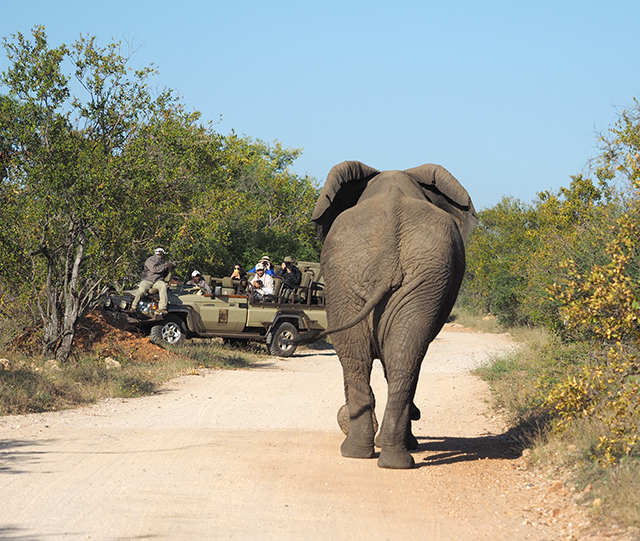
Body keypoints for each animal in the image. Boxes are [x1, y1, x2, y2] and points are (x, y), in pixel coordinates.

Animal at [308, 160, 478, 468]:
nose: (419, 413)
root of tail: (388, 251)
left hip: (407, 276)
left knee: (380, 357)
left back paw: (373, 454)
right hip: (360, 275)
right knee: (384, 357)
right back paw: (379, 456)